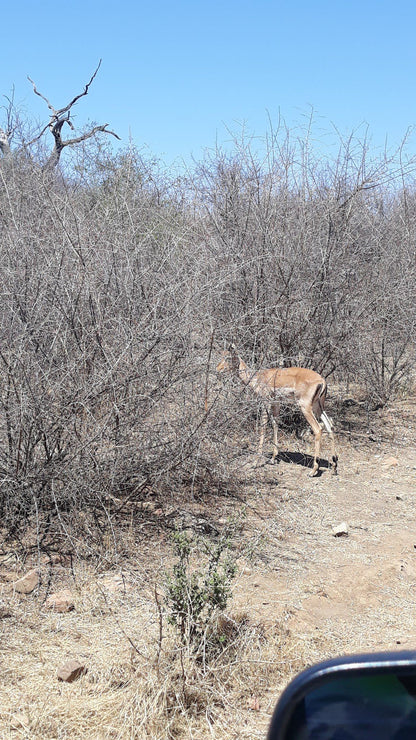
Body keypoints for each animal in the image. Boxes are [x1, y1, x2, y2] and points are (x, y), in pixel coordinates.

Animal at [218, 346, 338, 476]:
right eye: (222, 355)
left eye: (228, 358)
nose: (218, 369)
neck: (257, 377)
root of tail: (322, 380)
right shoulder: (276, 403)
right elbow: (275, 425)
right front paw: (272, 459)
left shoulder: (265, 402)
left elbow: (263, 427)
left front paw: (256, 462)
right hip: (318, 407)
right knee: (330, 426)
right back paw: (334, 466)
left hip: (305, 408)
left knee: (318, 429)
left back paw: (314, 470)